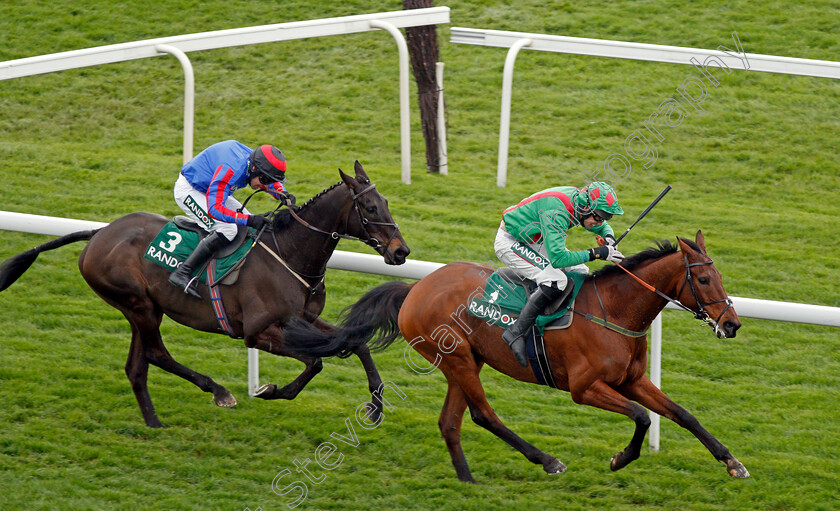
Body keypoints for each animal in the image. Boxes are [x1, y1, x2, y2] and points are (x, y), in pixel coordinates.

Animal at [0, 160, 406, 428]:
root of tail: (99, 233)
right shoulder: (258, 332)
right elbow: (317, 361)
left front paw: (375, 406)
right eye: (370, 207)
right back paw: (217, 390)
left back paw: (154, 422)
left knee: (137, 365)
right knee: (156, 353)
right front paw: (268, 390)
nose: (401, 251)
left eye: (387, 203)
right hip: (139, 303)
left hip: (140, 307)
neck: (290, 253)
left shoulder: (303, 318)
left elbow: (355, 343)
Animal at [280, 232, 748, 484]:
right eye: (704, 279)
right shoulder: (585, 389)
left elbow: (682, 414)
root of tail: (414, 289)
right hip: (458, 360)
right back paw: (547, 460)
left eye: (720, 276)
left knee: (450, 422)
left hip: (465, 361)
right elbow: (641, 417)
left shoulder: (632, 380)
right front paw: (621, 458)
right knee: (483, 414)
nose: (732, 324)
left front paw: (733, 463)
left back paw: (467, 480)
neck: (614, 311)